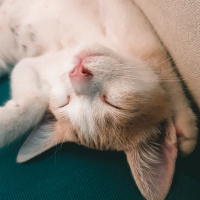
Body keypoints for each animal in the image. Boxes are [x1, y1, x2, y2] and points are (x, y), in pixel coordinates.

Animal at [0, 0, 198, 200]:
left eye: (113, 104)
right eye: (66, 100)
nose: (77, 73)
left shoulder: (127, 19)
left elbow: (157, 61)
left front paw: (185, 123)